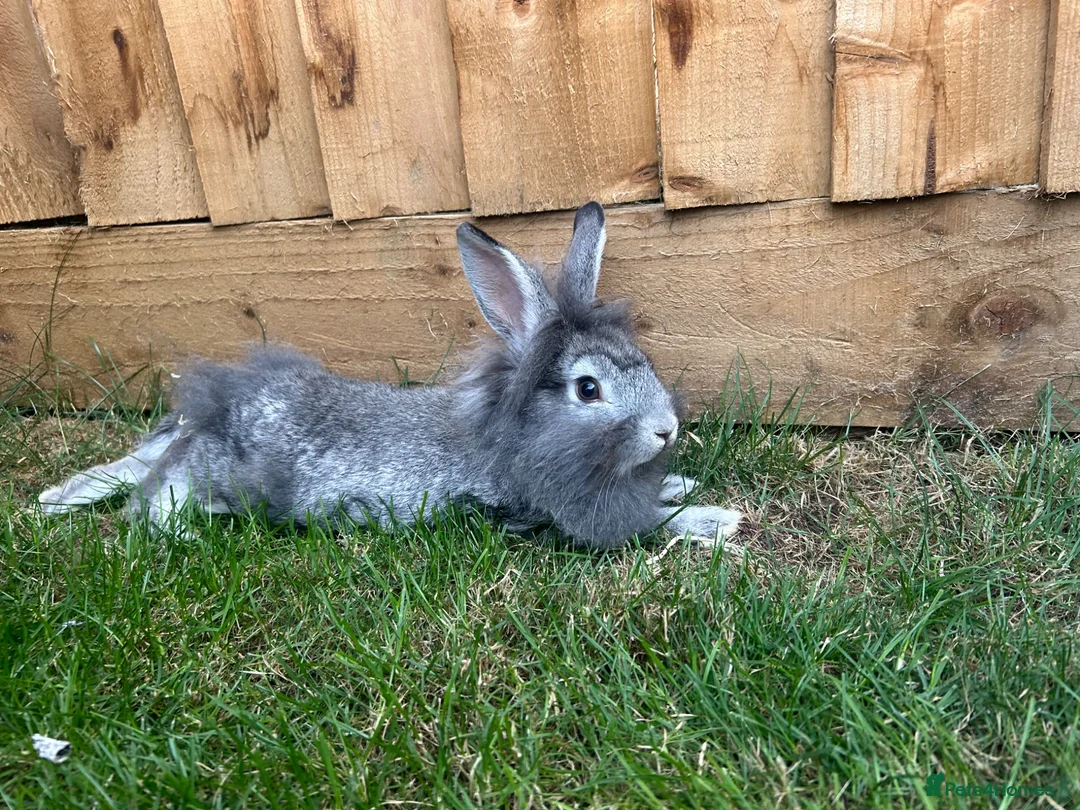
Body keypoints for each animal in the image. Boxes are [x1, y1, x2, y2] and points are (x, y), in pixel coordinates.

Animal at [37, 202, 742, 550]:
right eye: (587, 389)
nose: (666, 429)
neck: (516, 431)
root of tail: (213, 408)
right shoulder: (557, 512)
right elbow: (648, 525)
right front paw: (718, 522)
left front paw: (680, 483)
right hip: (218, 472)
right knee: (157, 494)